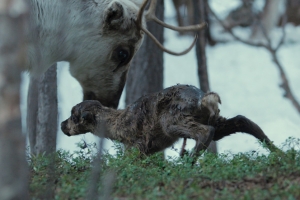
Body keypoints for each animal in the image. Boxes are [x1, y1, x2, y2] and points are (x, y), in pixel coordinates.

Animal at [60, 83, 278, 159]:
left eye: (73, 115)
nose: (62, 125)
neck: (116, 126)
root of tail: (202, 100)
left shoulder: (136, 145)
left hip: (172, 121)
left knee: (205, 131)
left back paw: (188, 162)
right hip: (217, 119)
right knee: (243, 120)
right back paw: (280, 153)